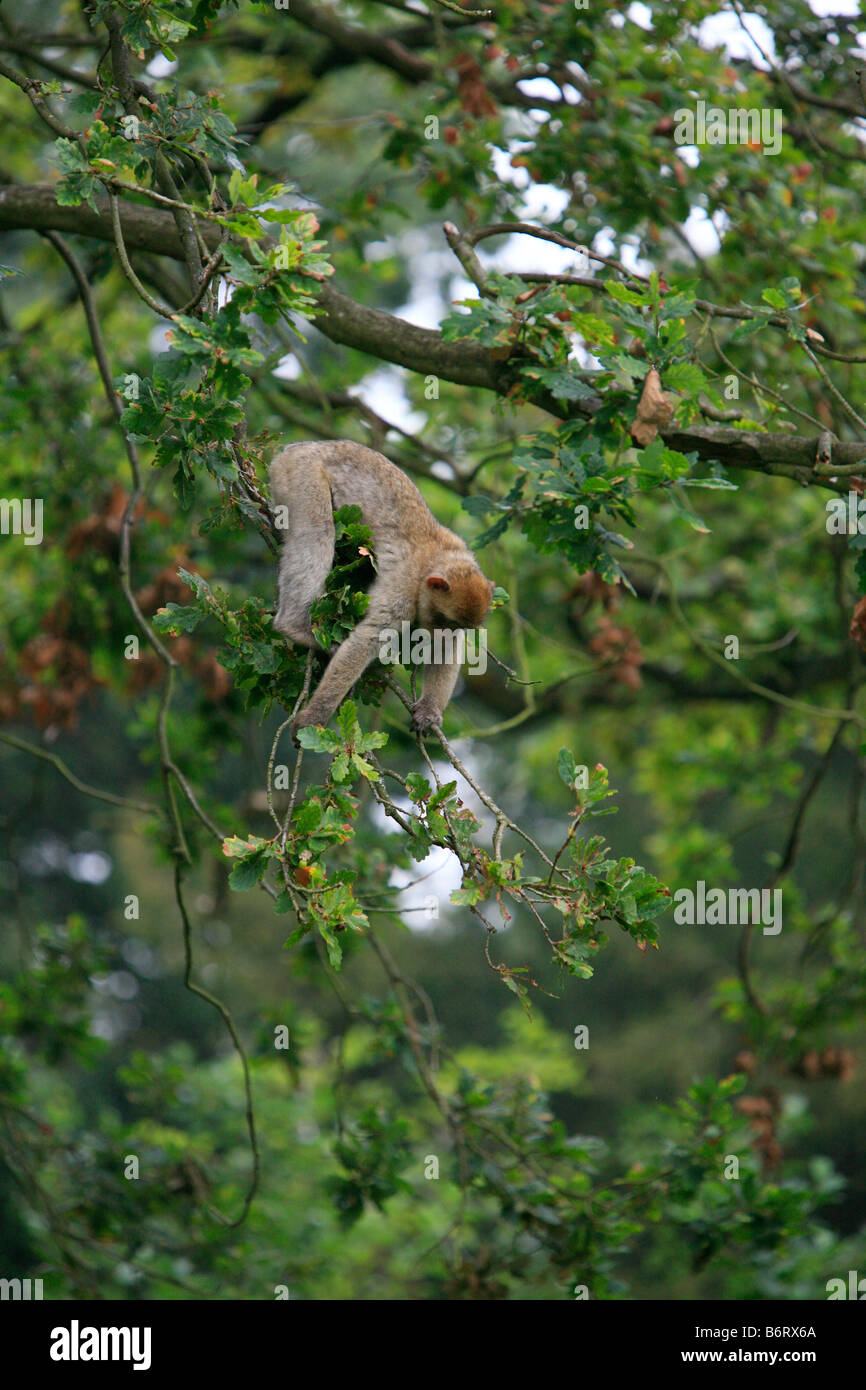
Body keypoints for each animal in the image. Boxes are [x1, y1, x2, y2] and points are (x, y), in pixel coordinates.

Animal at [269, 439, 494, 733]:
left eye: (457, 628)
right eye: (446, 620)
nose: (445, 632)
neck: (435, 559)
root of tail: (303, 446)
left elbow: (446, 650)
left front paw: (430, 710)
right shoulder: (403, 591)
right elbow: (368, 637)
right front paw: (315, 716)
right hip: (301, 474)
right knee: (317, 532)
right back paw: (295, 626)